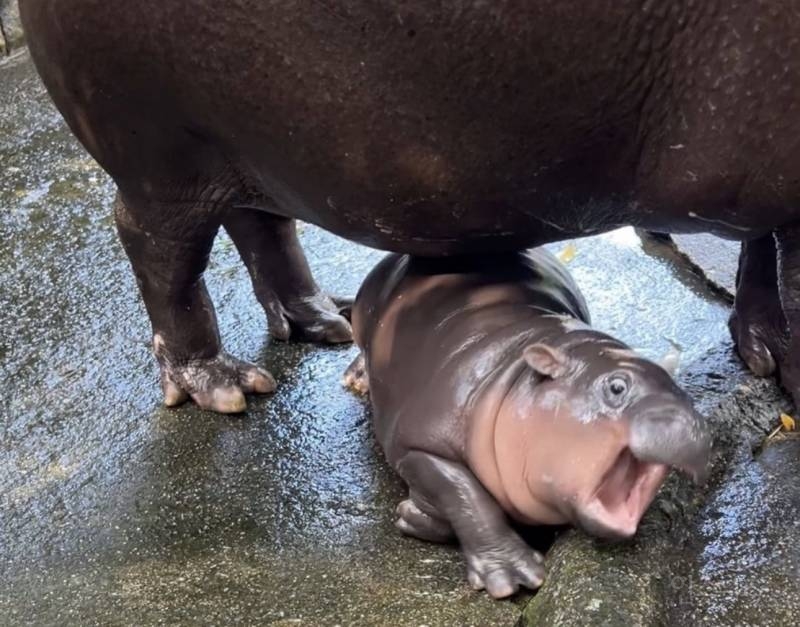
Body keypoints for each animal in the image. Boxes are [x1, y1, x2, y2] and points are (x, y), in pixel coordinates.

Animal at [18, 1, 800, 412]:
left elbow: (762, 248)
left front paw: (767, 354)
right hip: (161, 156)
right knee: (158, 252)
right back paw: (223, 386)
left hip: (246, 146)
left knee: (260, 222)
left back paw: (323, 322)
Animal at [346, 249, 708, 600]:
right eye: (617, 386)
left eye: (681, 389)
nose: (694, 426)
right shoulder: (418, 445)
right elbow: (466, 494)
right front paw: (513, 576)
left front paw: (414, 515)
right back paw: (357, 379)